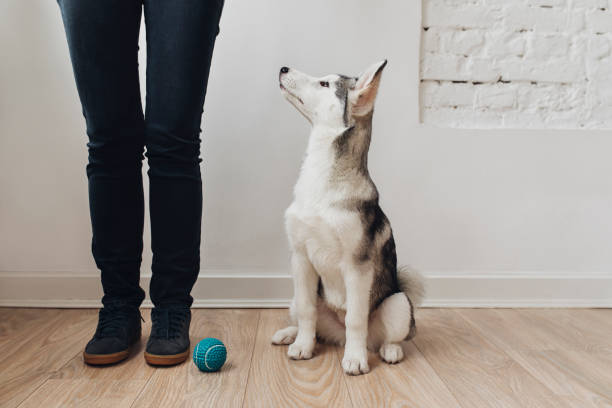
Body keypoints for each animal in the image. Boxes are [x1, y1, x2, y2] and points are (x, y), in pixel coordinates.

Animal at [272, 60, 426, 376]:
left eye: (325, 84)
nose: (283, 68)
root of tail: (337, 336)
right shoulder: (300, 259)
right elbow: (306, 311)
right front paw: (303, 346)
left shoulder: (357, 266)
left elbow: (355, 318)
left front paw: (355, 359)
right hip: (298, 297)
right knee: (312, 324)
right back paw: (290, 334)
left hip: (398, 303)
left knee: (385, 336)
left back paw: (389, 350)